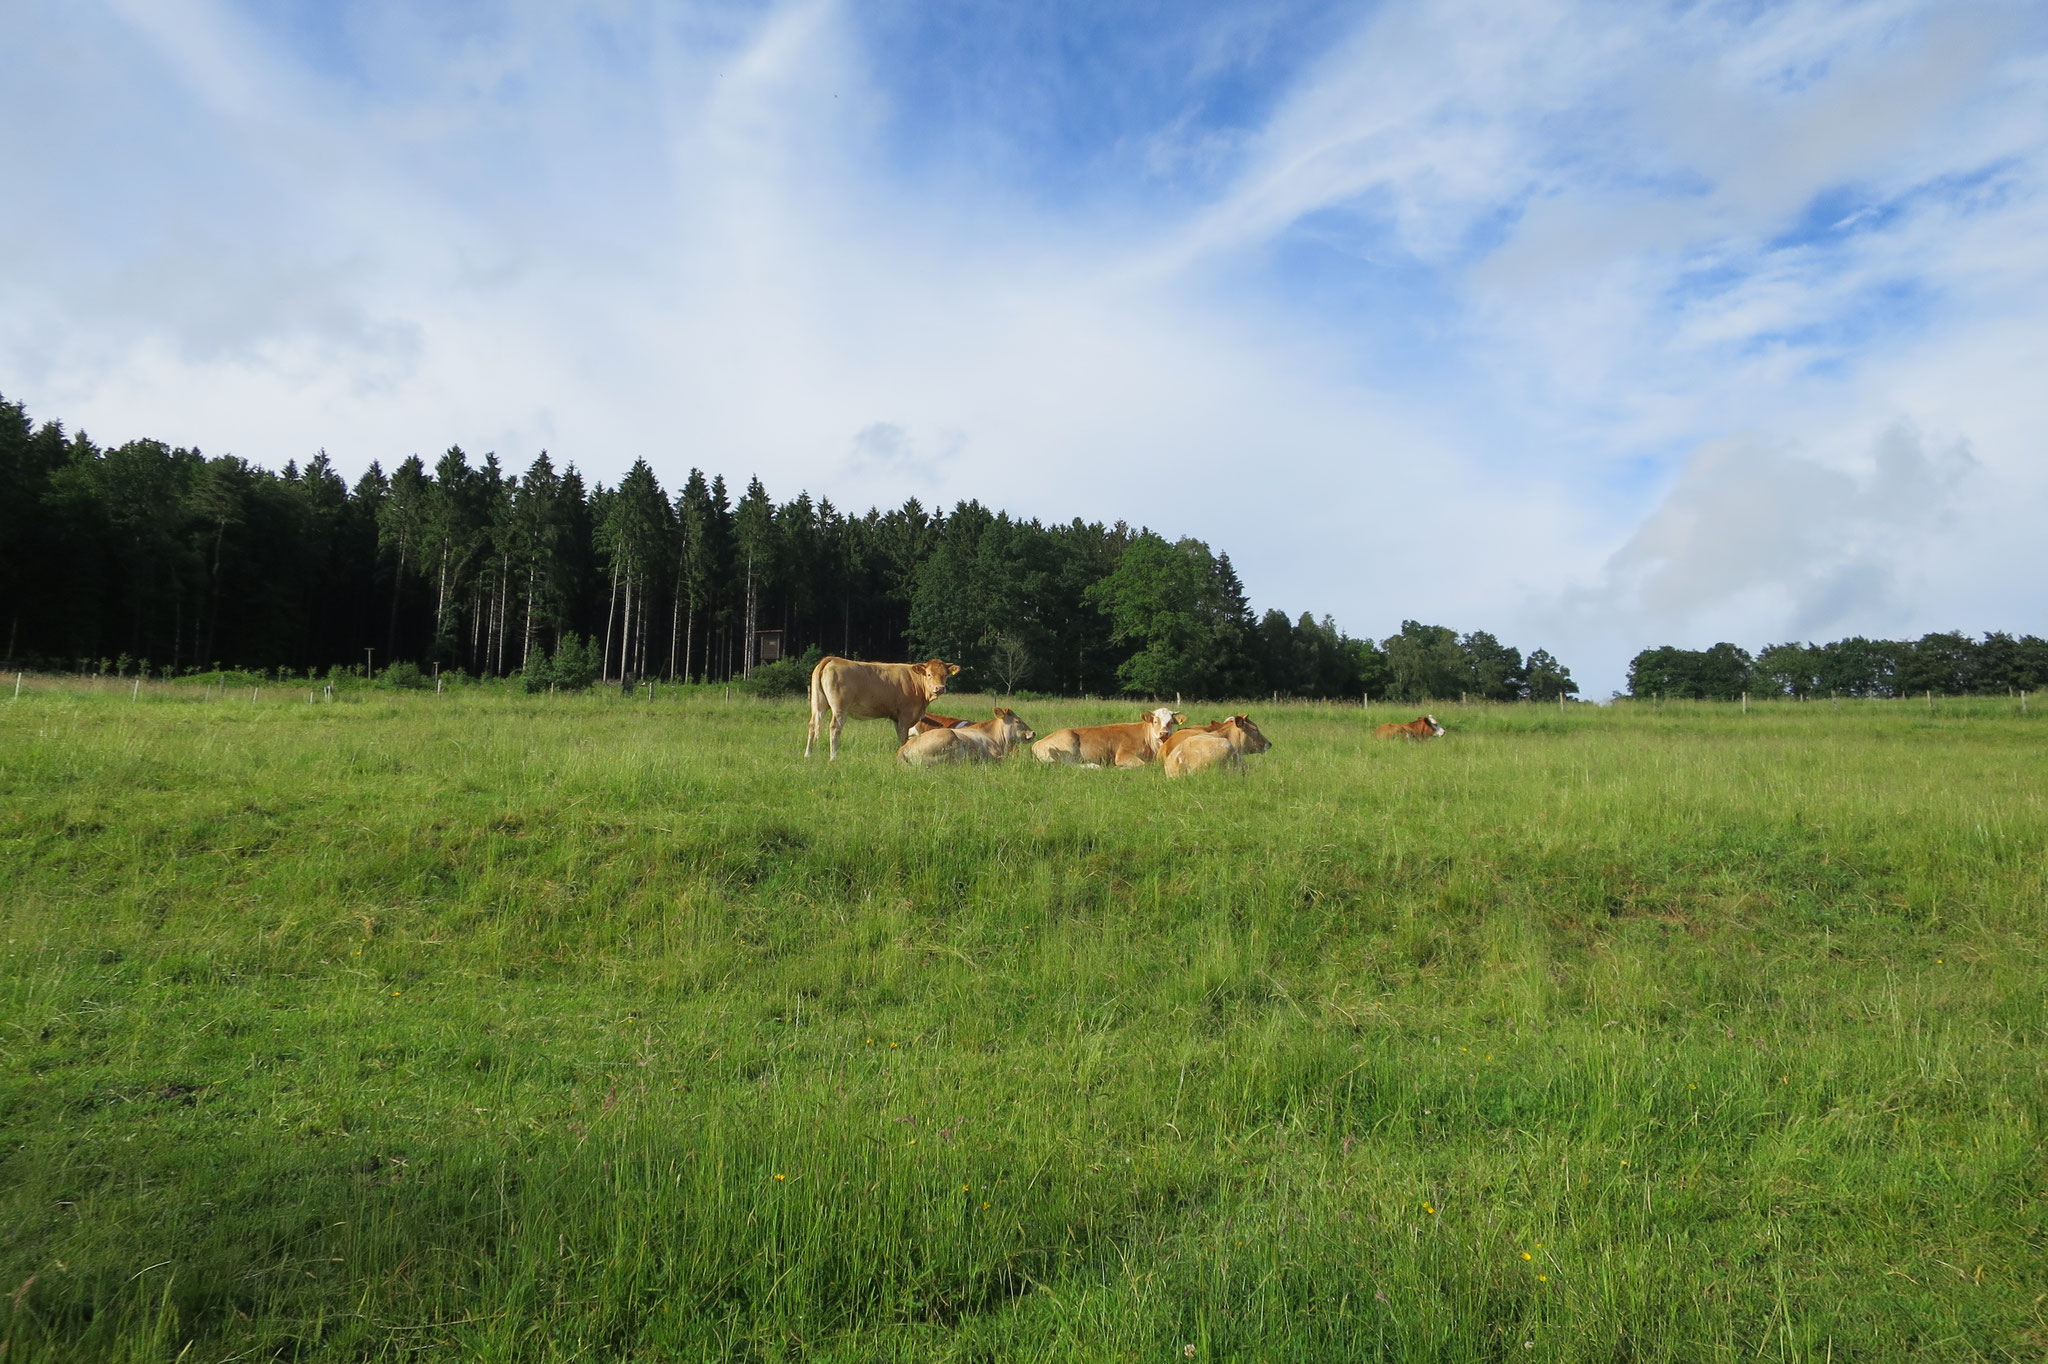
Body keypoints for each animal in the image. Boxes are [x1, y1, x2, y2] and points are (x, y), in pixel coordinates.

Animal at [798, 651, 958, 753]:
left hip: (818, 703)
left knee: (812, 725)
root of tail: (833, 659)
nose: (940, 688)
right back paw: (833, 757)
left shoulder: (896, 717)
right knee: (835, 728)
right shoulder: (905, 715)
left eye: (945, 675)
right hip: (839, 707)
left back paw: (808, 755)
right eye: (929, 674)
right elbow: (903, 737)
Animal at [1024, 704, 1187, 770]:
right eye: (1155, 721)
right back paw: (1094, 766)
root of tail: (1036, 743)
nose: (1164, 733)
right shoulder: (1123, 754)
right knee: (1068, 764)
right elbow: (1143, 765)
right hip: (1066, 742)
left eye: (1170, 722)